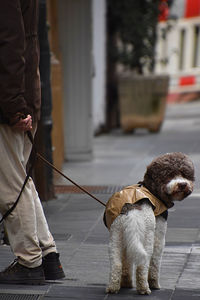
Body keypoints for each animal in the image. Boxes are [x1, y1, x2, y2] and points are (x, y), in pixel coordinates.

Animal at [104, 152, 195, 296]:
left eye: (185, 174)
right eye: (169, 174)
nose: (182, 184)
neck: (152, 189)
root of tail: (132, 209)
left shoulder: (126, 241)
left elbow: (126, 263)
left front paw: (126, 283)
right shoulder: (159, 237)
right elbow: (155, 264)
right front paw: (154, 284)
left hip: (116, 236)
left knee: (116, 264)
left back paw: (112, 288)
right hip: (146, 239)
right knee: (142, 265)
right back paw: (144, 289)